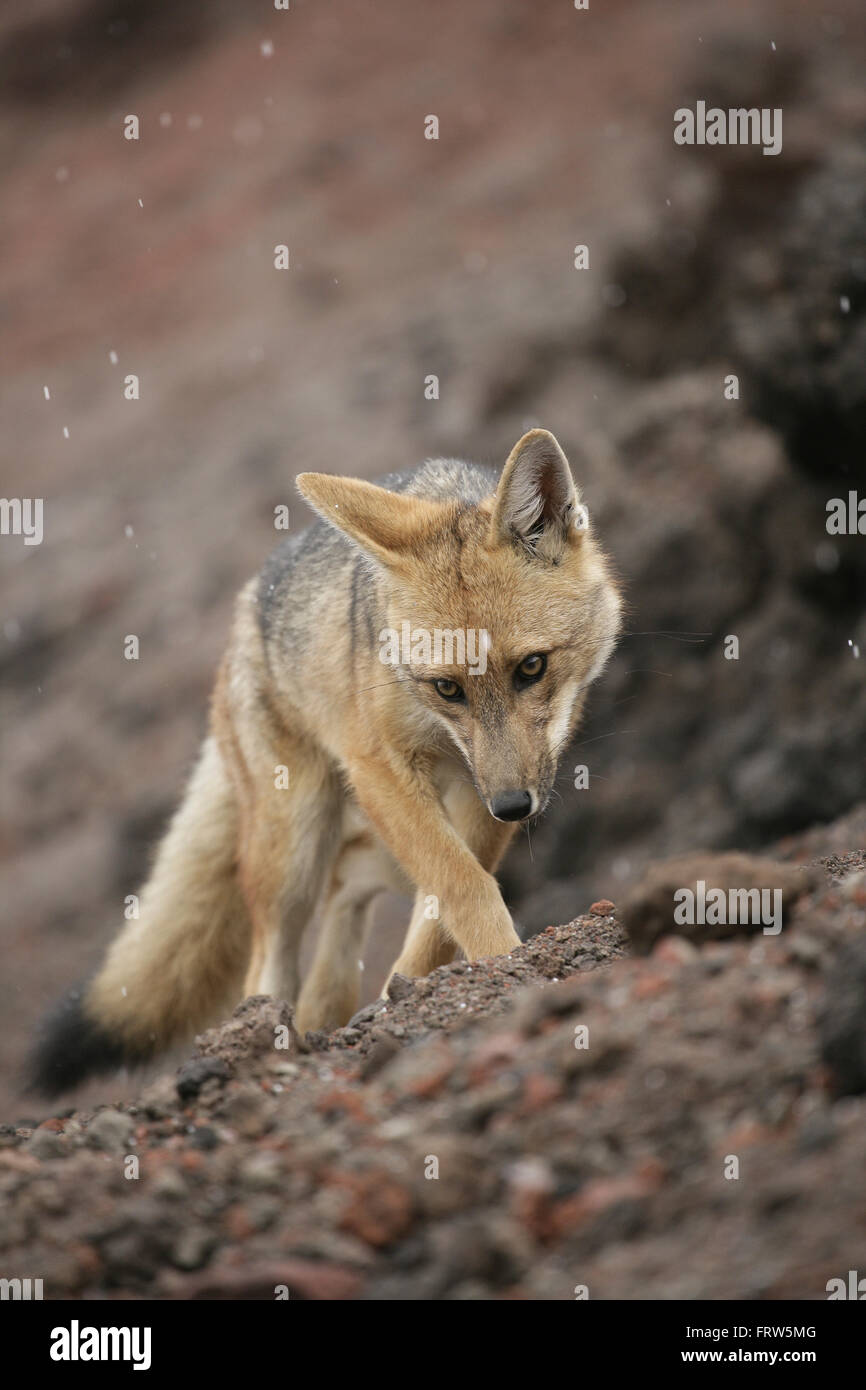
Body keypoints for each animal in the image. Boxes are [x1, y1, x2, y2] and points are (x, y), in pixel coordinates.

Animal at [28, 428, 622, 1096]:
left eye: (532, 667)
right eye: (447, 688)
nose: (515, 807)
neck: (437, 730)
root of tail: (244, 612)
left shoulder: (483, 789)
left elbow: (442, 911)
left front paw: (420, 990)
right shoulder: (378, 766)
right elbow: (463, 884)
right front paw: (500, 965)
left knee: (347, 892)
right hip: (294, 846)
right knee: (270, 962)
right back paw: (266, 1038)